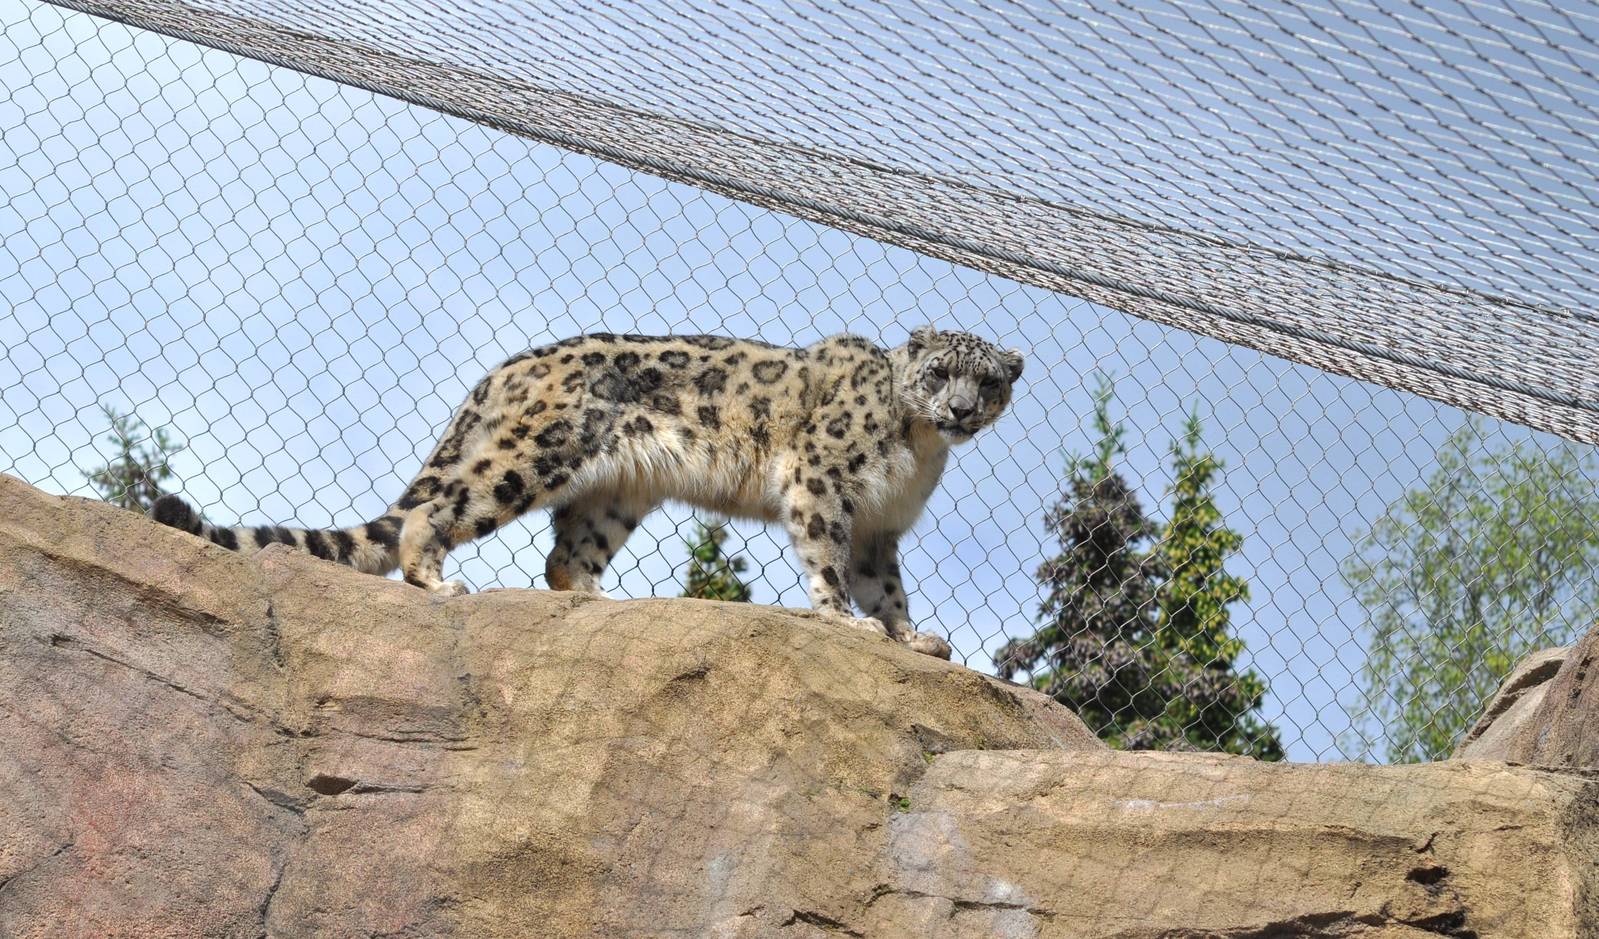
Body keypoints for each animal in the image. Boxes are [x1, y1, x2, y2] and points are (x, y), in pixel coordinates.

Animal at [151, 325, 1025, 659]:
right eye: (937, 372)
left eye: (986, 381)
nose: (959, 410)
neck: (916, 454)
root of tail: (504, 370)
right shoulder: (825, 485)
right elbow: (829, 563)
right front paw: (846, 621)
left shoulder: (882, 528)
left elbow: (888, 586)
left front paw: (915, 636)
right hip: (534, 457)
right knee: (436, 508)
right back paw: (437, 579)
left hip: (614, 495)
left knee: (565, 557)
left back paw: (603, 604)